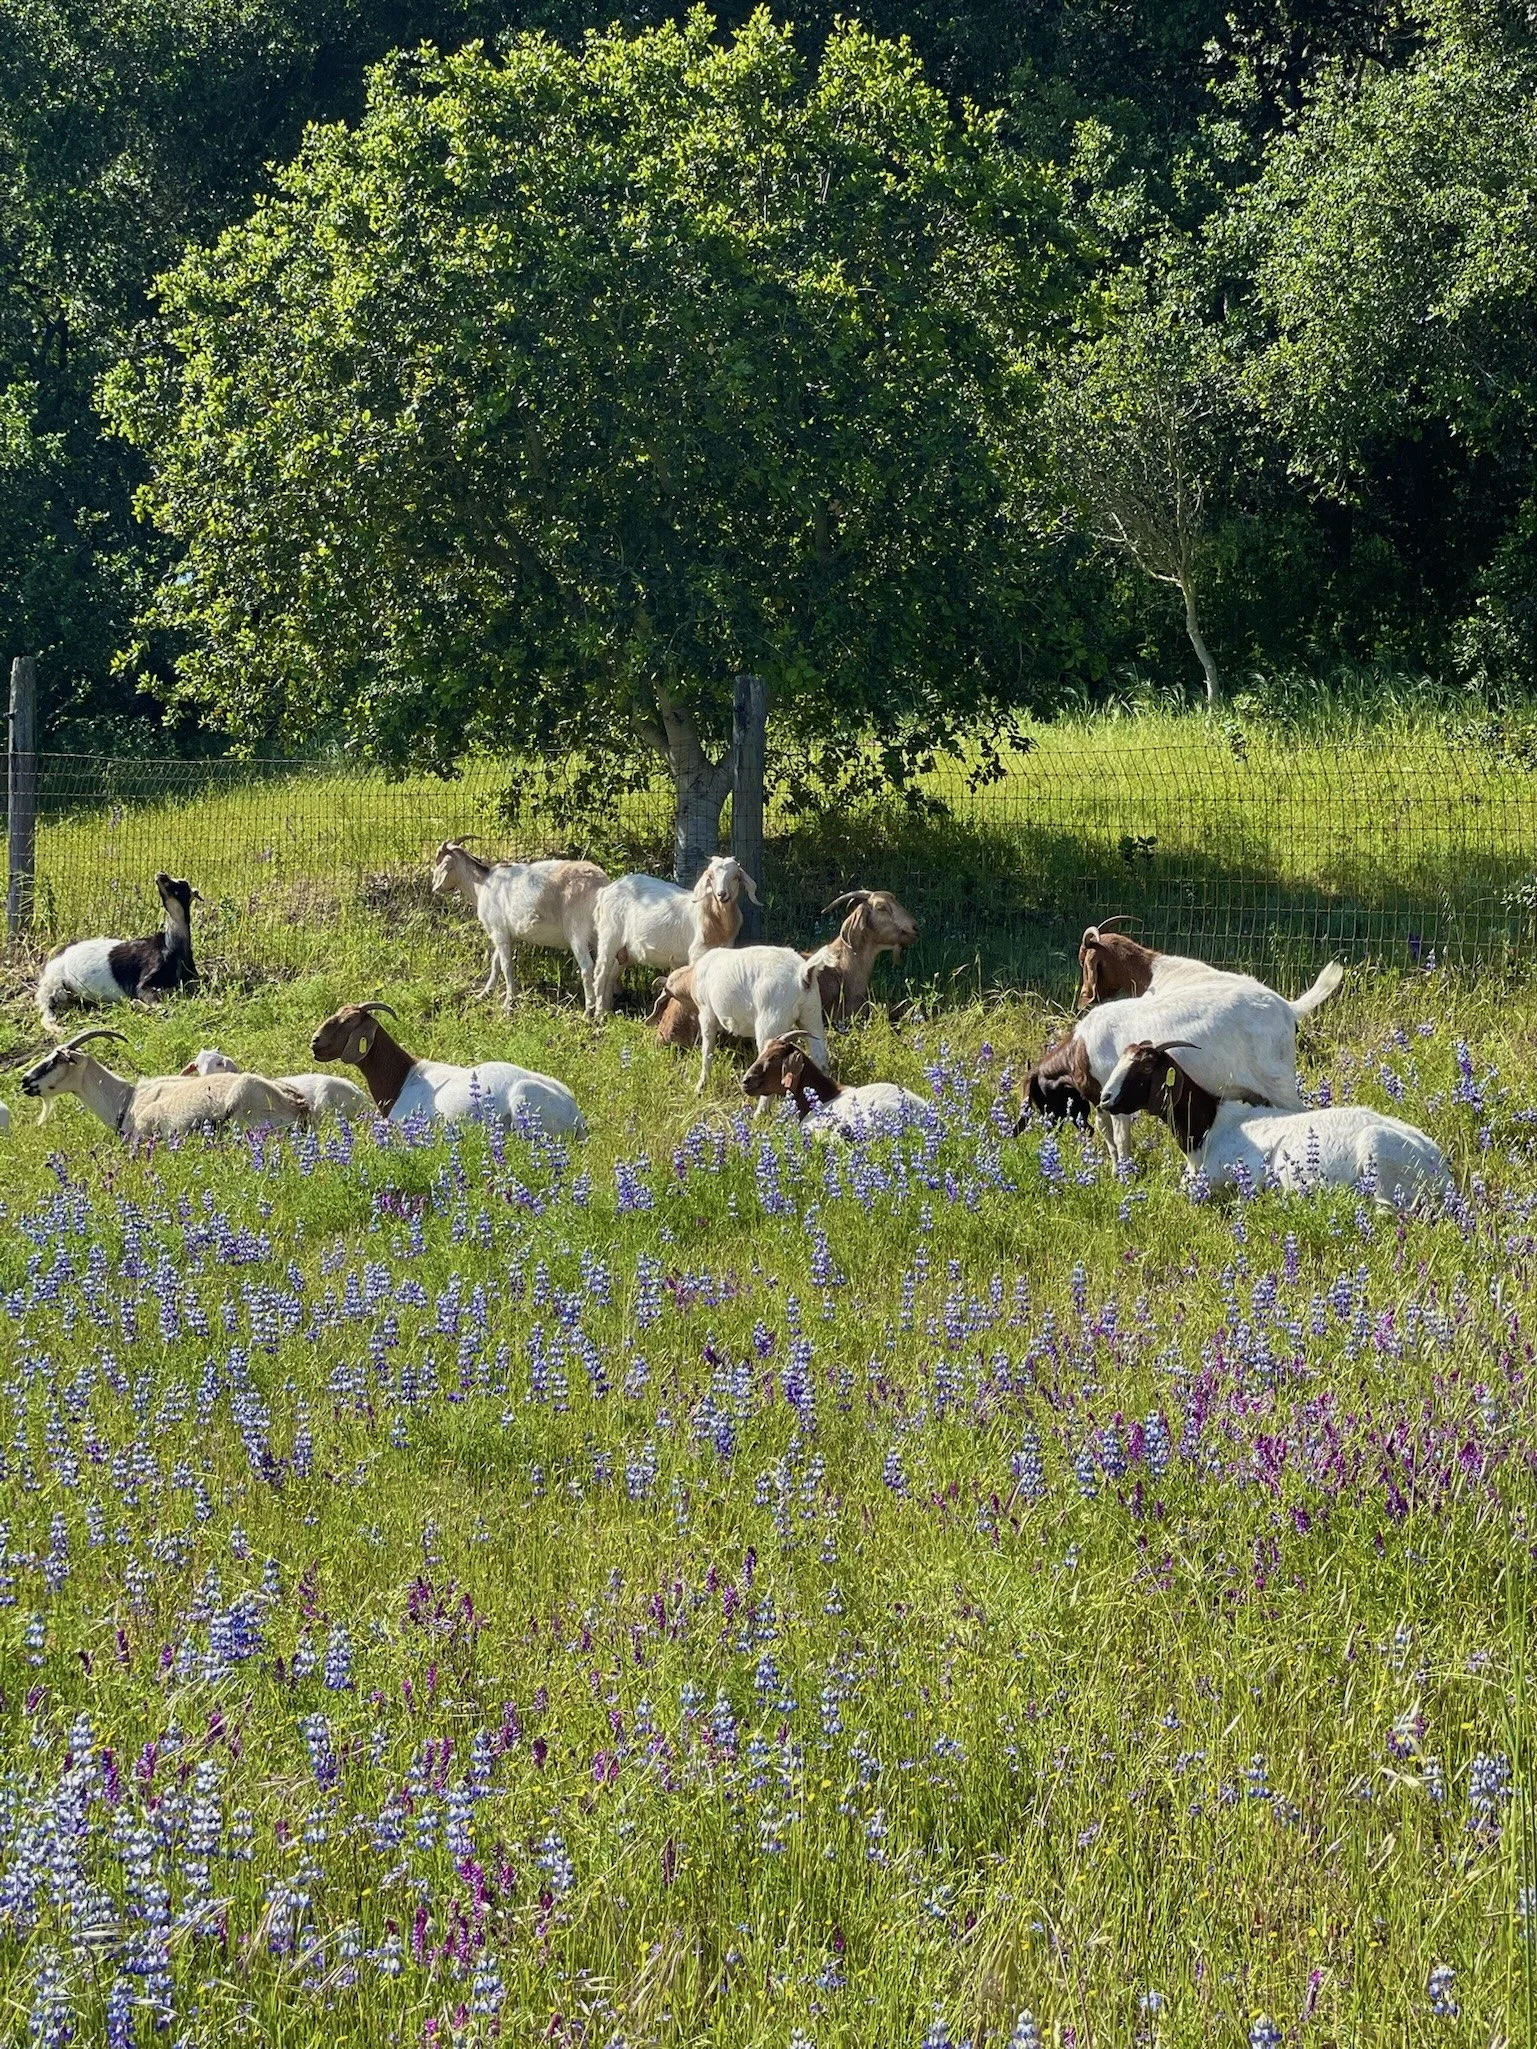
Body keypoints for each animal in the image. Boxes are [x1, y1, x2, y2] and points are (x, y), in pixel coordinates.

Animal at [37, 873, 200, 1032]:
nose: (161, 875)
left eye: (183, 884)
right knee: (46, 1012)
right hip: (54, 985)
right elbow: (159, 1005)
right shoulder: (143, 982)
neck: (172, 946)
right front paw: (137, 1004)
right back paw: (57, 1029)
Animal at [431, 839, 609, 1013]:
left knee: (587, 967)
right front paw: (484, 994)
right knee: (605, 967)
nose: (434, 885)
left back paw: (588, 1012)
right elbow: (495, 963)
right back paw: (602, 1010)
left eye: (439, 862)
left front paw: (508, 1003)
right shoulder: (505, 933)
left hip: (577, 932)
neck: (481, 884)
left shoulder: (498, 931)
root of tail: (601, 885)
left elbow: (506, 965)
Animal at [591, 858, 758, 1017]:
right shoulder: (697, 952)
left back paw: (607, 1010)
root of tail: (606, 891)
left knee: (611, 975)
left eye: (736, 877)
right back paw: (598, 1015)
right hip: (609, 934)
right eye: (711, 877)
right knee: (600, 973)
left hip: (625, 950)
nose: (722, 894)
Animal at [657, 947, 826, 1098]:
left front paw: (700, 1086)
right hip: (812, 1016)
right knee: (821, 1058)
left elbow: (707, 1051)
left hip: (770, 1024)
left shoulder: (707, 1014)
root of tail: (803, 974)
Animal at [1018, 964, 1344, 1168]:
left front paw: (1124, 1176)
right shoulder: (1101, 1102)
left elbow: (1121, 1140)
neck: (1081, 1049)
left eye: (1038, 1098)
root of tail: (1287, 1008)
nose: (1050, 1132)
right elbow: (1109, 1139)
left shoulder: (1116, 1101)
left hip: (1279, 1082)